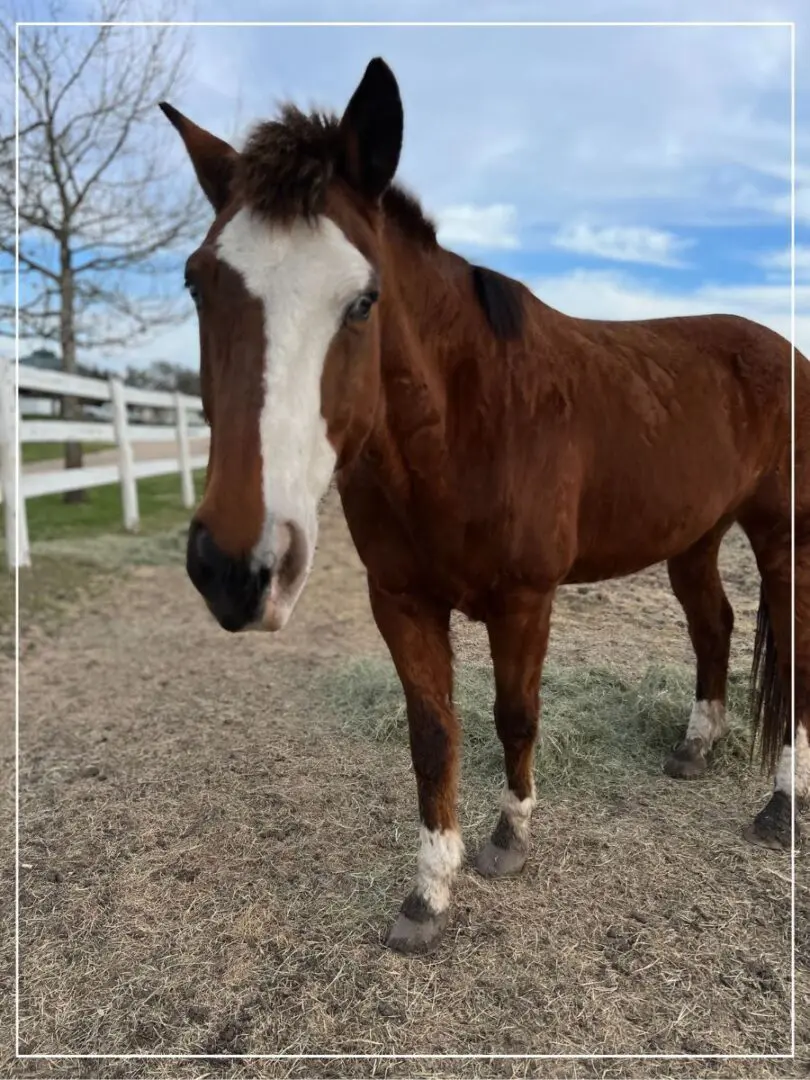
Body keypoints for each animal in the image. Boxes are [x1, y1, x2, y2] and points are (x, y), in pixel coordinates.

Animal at [162, 59, 807, 954]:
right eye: (198, 282)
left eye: (363, 301)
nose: (234, 567)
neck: (468, 425)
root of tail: (782, 349)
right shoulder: (400, 602)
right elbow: (433, 736)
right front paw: (429, 893)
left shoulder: (524, 600)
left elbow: (515, 714)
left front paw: (509, 839)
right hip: (695, 537)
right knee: (714, 625)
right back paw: (694, 748)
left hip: (783, 539)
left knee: (793, 655)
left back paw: (781, 805)